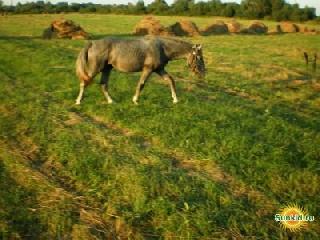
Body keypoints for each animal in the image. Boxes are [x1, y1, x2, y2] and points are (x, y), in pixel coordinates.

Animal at [75, 35, 205, 104]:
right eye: (199, 57)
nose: (203, 73)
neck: (161, 48)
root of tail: (92, 43)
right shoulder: (148, 69)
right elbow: (141, 84)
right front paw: (135, 100)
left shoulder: (159, 70)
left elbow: (170, 80)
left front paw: (175, 99)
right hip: (95, 69)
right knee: (84, 83)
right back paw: (78, 101)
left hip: (107, 69)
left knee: (103, 84)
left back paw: (111, 101)